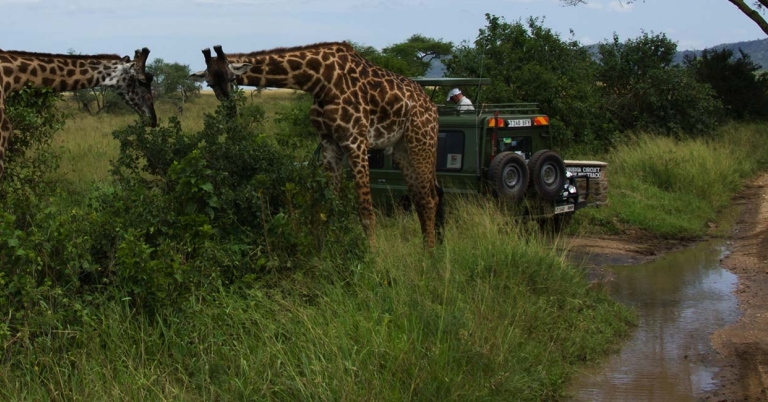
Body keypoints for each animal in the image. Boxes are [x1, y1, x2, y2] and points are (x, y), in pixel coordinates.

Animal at [189, 42, 444, 248]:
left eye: (232, 79)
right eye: (210, 83)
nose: (229, 109)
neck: (320, 81)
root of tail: (431, 106)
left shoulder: (356, 141)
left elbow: (365, 211)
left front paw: (372, 258)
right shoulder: (329, 143)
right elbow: (331, 207)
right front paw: (332, 251)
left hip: (422, 141)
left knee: (429, 198)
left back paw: (430, 256)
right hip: (401, 149)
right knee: (420, 197)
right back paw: (426, 250)